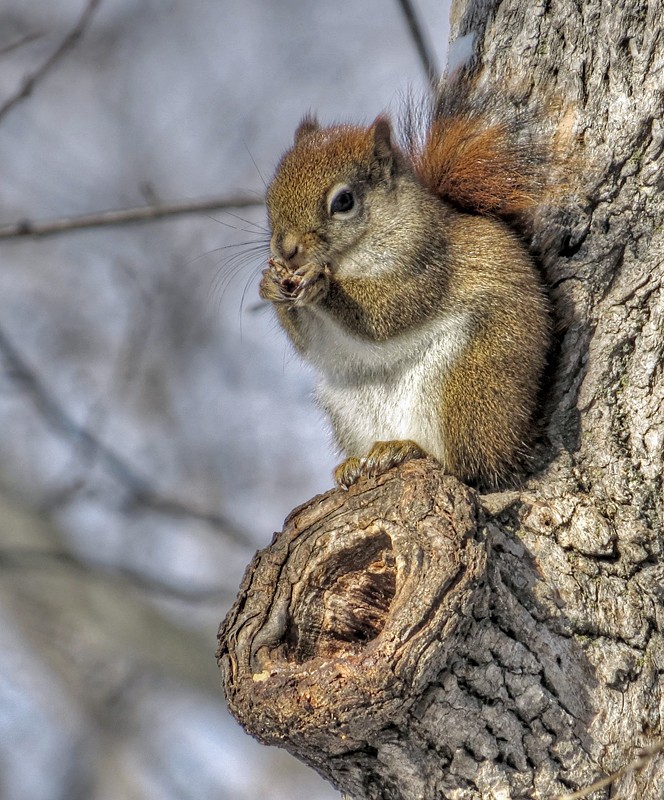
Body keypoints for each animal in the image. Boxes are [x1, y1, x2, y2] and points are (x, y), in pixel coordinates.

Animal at [260, 79, 556, 488]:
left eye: (344, 201)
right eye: (270, 196)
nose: (287, 251)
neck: (348, 258)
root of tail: (513, 441)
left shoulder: (427, 260)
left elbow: (387, 313)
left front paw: (322, 286)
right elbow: (309, 343)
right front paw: (270, 286)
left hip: (466, 383)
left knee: (467, 463)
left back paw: (408, 448)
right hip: (348, 404)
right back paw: (356, 463)